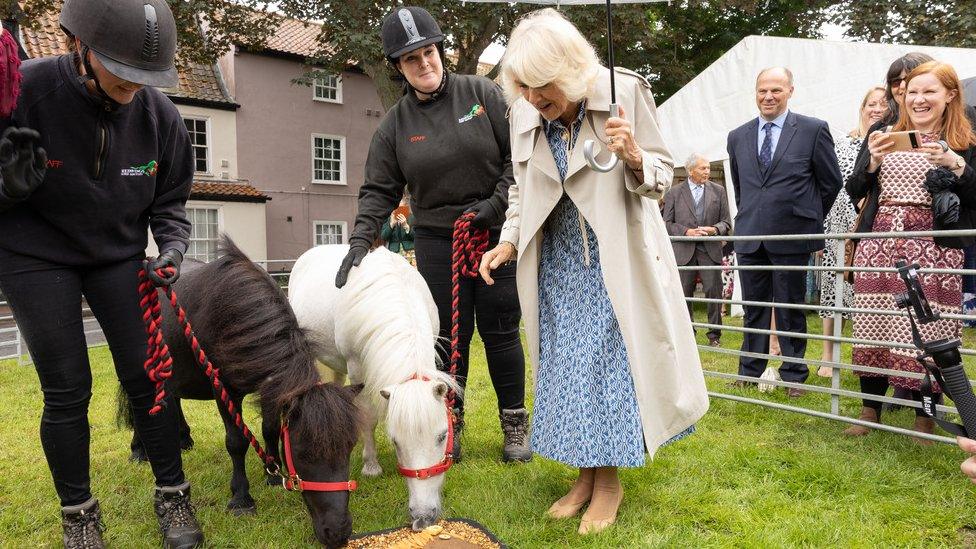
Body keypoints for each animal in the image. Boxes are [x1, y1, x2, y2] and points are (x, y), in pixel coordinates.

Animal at [124, 237, 360, 548]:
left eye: (349, 449)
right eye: (303, 452)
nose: (338, 532)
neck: (237, 315)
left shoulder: (272, 388)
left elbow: (270, 429)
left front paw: (272, 473)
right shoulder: (224, 389)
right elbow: (236, 442)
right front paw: (241, 498)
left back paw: (183, 438)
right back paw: (139, 450)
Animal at [288, 244, 460, 528]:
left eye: (442, 436)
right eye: (396, 441)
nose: (423, 516)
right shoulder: (357, 368)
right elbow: (368, 417)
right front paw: (371, 465)